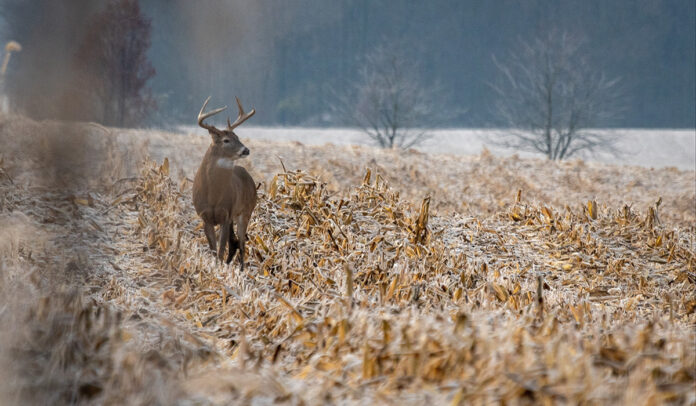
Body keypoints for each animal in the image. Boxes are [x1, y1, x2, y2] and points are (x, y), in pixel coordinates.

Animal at [193, 96, 257, 270]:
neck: (212, 196)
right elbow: (214, 249)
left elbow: (221, 249)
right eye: (226, 140)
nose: (246, 150)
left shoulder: (226, 215)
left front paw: (220, 269)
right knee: (235, 243)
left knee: (241, 244)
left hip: (245, 211)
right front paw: (215, 268)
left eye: (238, 137)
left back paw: (242, 269)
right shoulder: (205, 216)